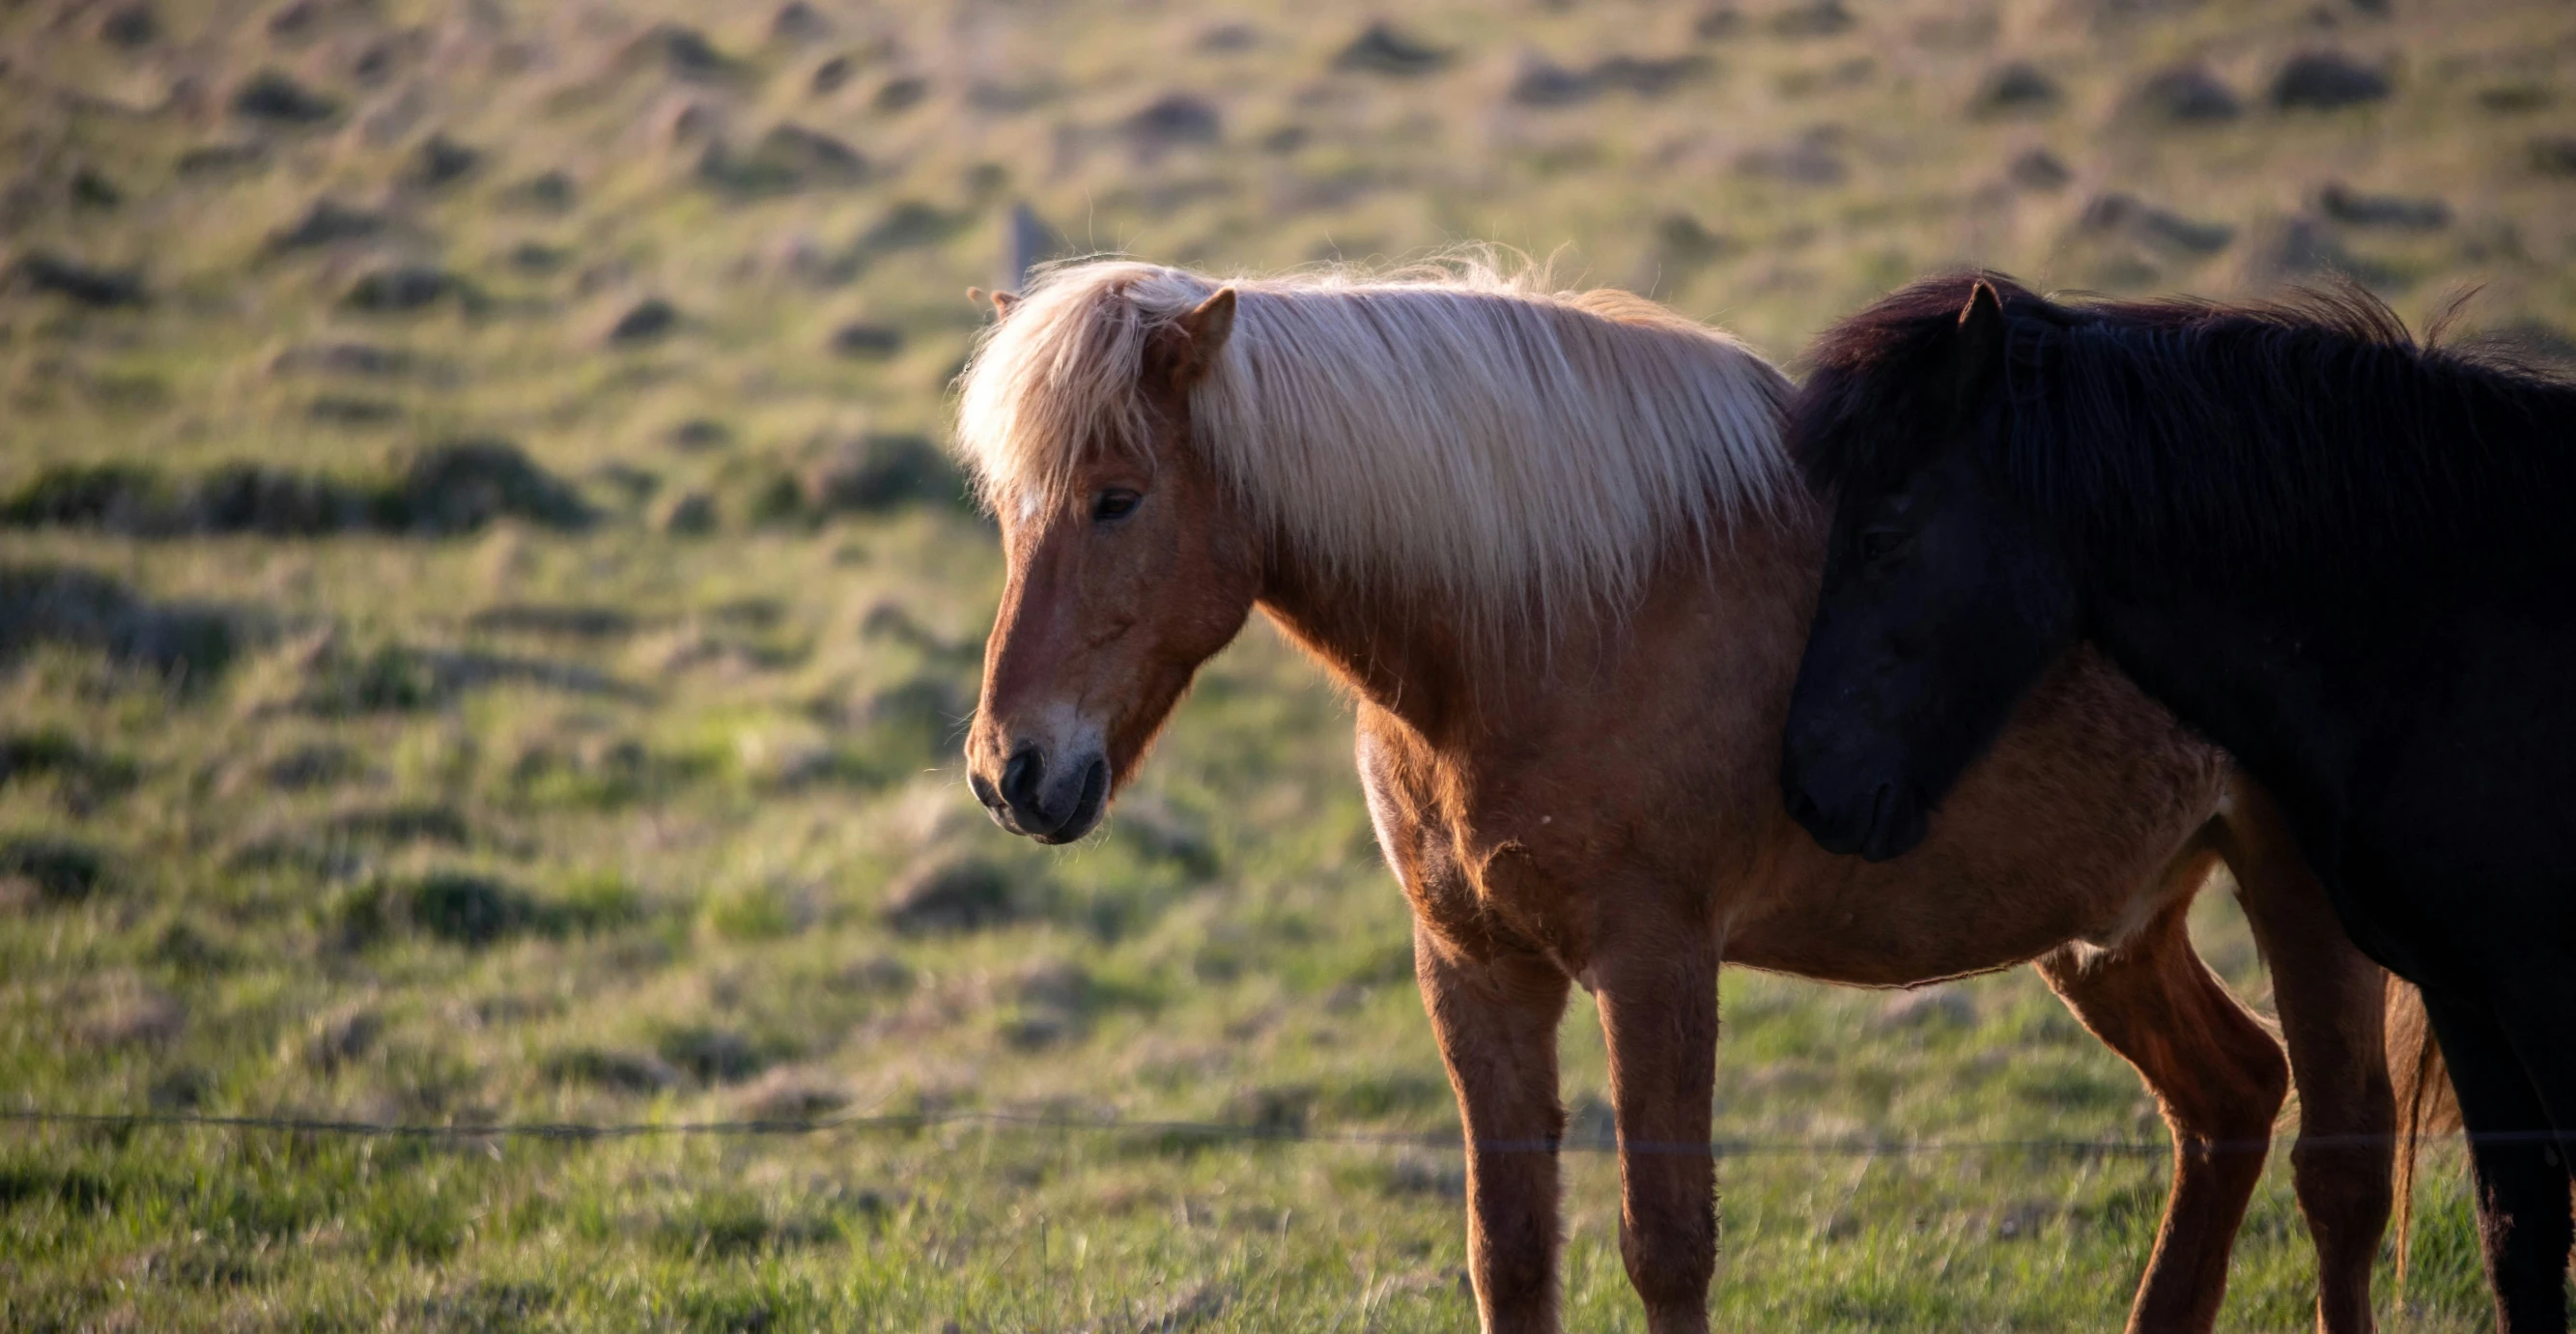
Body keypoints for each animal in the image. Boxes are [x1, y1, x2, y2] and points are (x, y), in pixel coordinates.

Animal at [958, 264, 2400, 1334]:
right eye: (1008, 509)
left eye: (1117, 500)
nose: (1008, 770)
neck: (1547, 616)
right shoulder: (1474, 969)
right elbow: (1509, 1251)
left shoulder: (1654, 965)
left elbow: (1666, 1247)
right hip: (2112, 928)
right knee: (2227, 1102)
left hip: (2297, 890)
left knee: (2341, 1167)